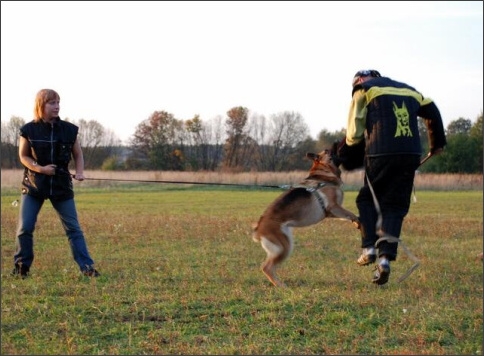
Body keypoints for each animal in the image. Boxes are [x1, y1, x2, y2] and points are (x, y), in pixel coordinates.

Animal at [253, 149, 360, 286]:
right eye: (328, 152)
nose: (337, 149)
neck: (324, 172)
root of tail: (258, 229)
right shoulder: (334, 207)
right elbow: (352, 214)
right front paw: (358, 221)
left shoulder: (332, 212)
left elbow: (348, 216)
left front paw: (356, 223)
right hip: (284, 247)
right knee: (266, 267)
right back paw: (281, 286)